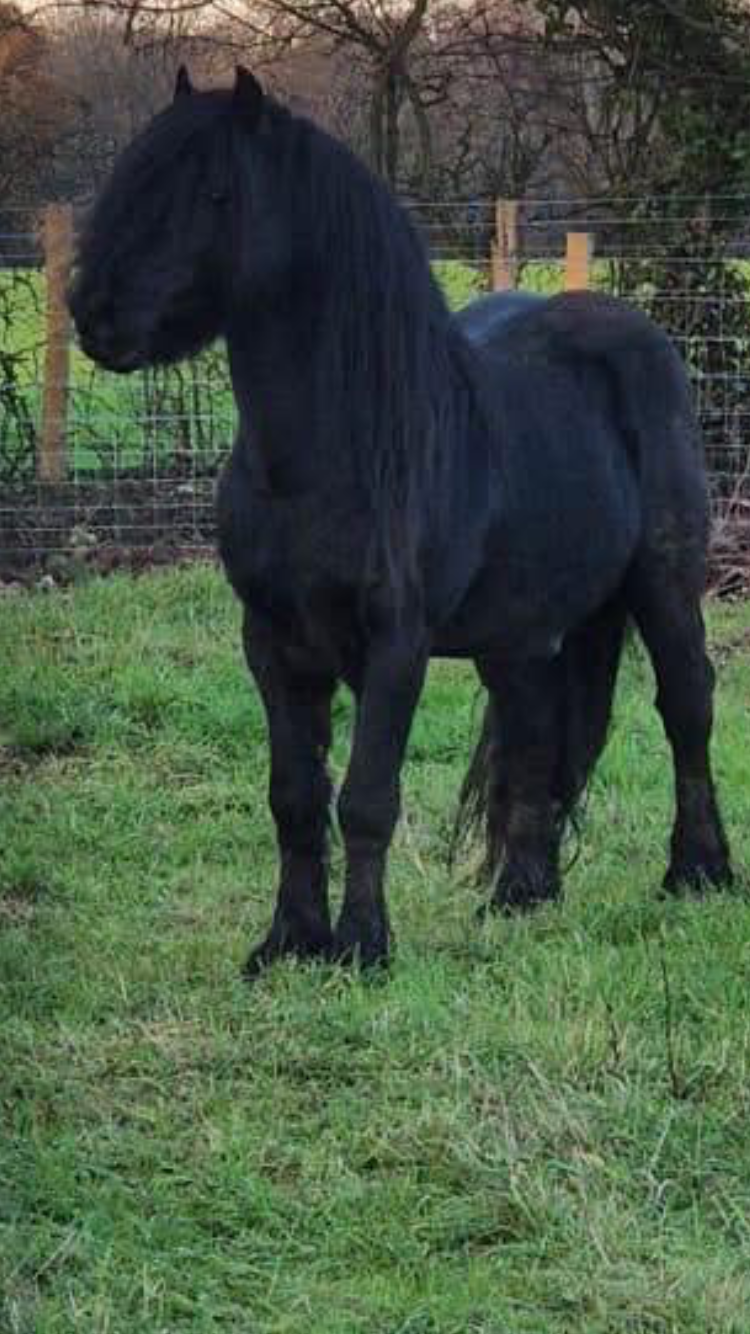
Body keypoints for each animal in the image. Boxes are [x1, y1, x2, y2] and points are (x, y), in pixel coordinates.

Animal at [69, 67, 733, 974]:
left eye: (214, 193)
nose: (93, 314)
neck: (330, 456)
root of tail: (631, 332)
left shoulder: (395, 643)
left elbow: (366, 797)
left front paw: (362, 946)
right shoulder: (272, 642)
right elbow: (294, 796)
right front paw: (288, 941)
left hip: (664, 583)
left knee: (686, 704)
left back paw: (698, 873)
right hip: (520, 632)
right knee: (534, 730)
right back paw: (520, 893)